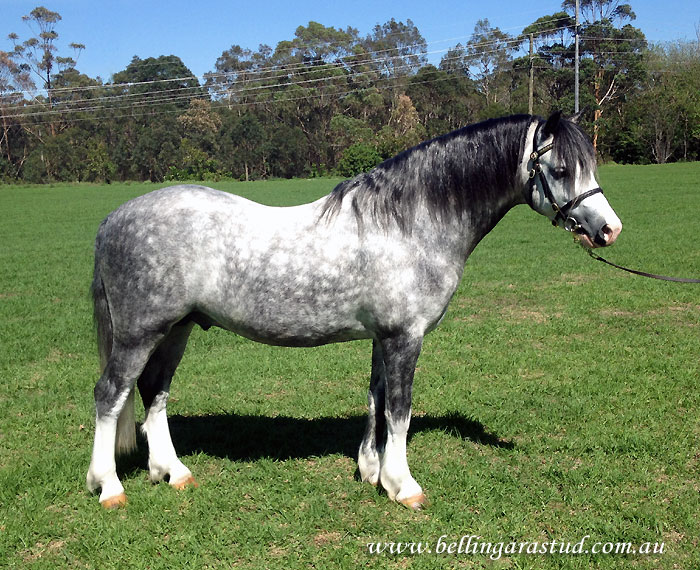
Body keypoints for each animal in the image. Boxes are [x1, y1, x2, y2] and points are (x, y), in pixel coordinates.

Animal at [86, 111, 622, 509]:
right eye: (559, 170)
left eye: (589, 167)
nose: (609, 229)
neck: (410, 223)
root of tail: (114, 218)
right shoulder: (405, 337)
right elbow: (401, 410)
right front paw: (404, 487)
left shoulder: (383, 337)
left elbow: (376, 400)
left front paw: (372, 472)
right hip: (139, 334)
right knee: (111, 395)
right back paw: (108, 487)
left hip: (176, 329)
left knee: (154, 393)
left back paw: (172, 472)